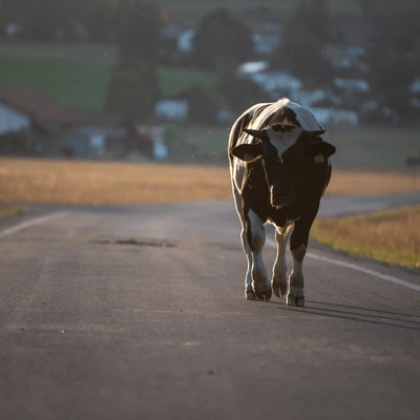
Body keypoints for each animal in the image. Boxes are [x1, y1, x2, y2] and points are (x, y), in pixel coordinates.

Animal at [228, 99, 336, 308]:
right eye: (266, 159)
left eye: (299, 160)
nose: (281, 195)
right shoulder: (249, 203)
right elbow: (256, 240)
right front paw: (261, 286)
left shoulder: (311, 207)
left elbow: (298, 246)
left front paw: (295, 290)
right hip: (237, 198)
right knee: (246, 240)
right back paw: (251, 286)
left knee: (281, 237)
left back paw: (279, 282)